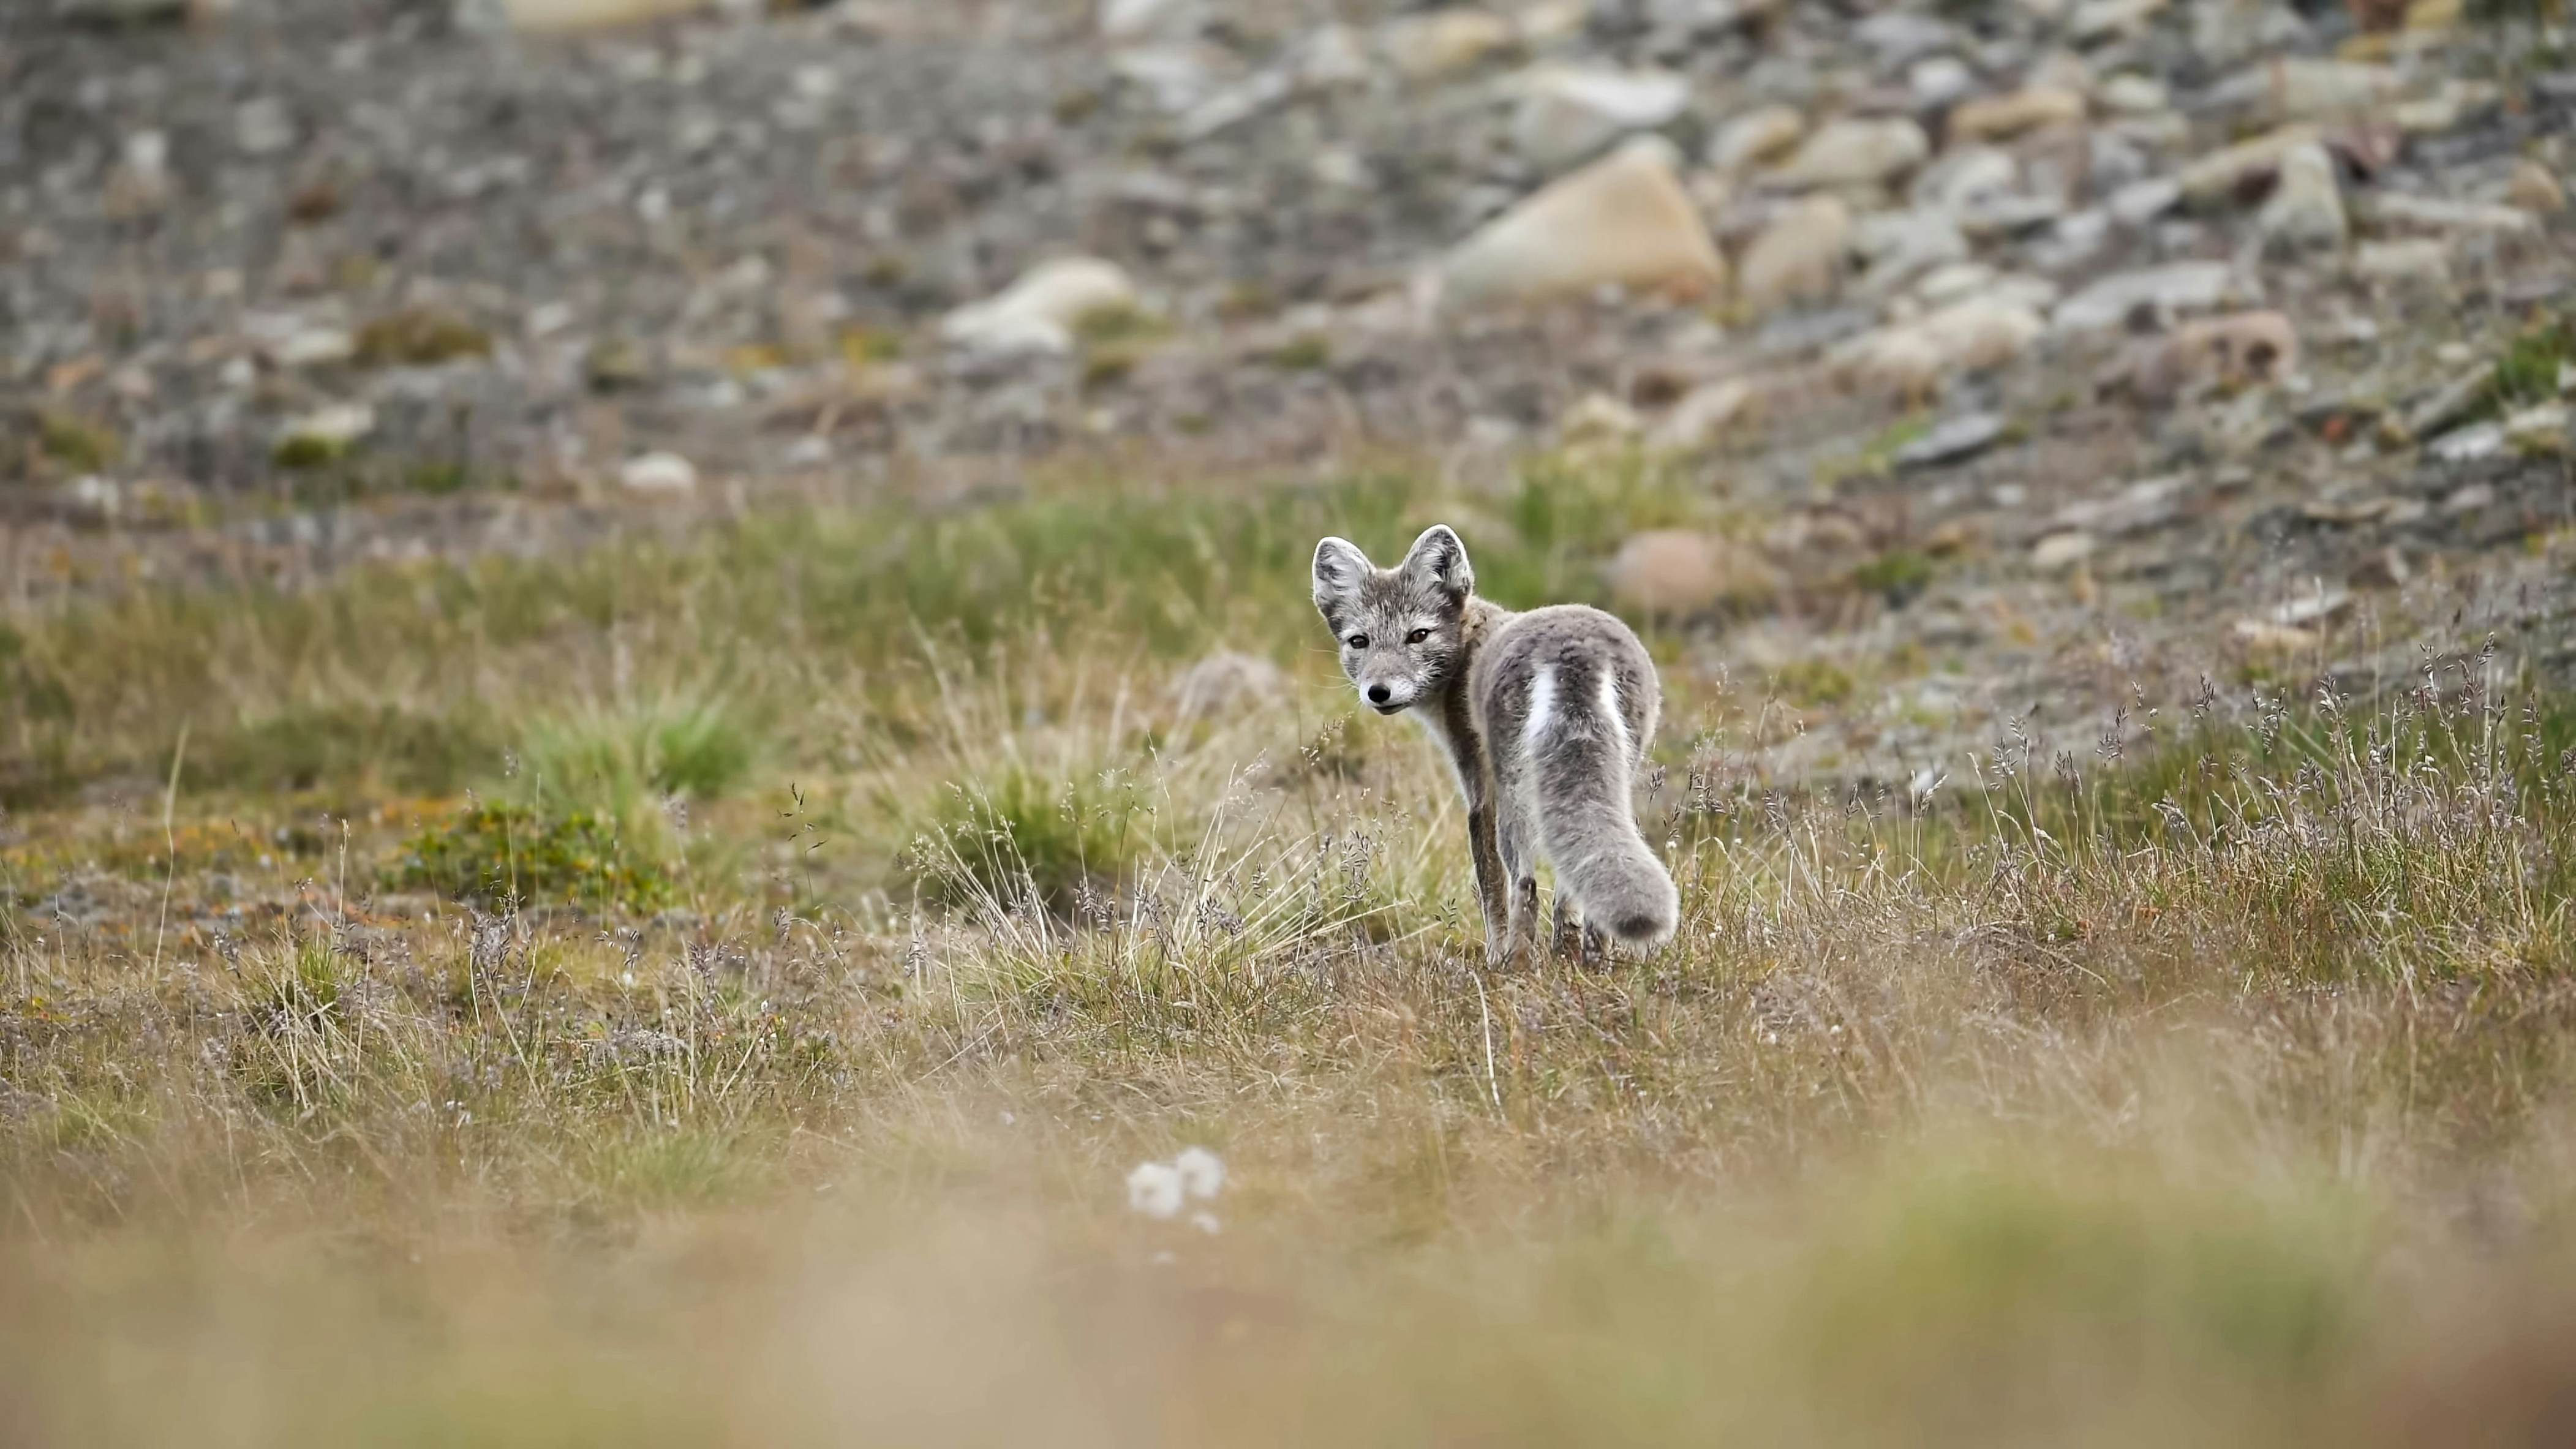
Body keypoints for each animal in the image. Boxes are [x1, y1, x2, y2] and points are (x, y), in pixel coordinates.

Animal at [1319, 527, 1679, 968]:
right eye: (1360, 642)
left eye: (1418, 635)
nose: (1378, 692)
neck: (1467, 645)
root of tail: (1575, 651)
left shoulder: (1478, 789)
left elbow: (1489, 885)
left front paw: (1493, 956)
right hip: (1614, 776)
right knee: (1570, 888)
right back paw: (1585, 964)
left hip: (1515, 793)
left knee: (1524, 883)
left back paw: (1516, 964)